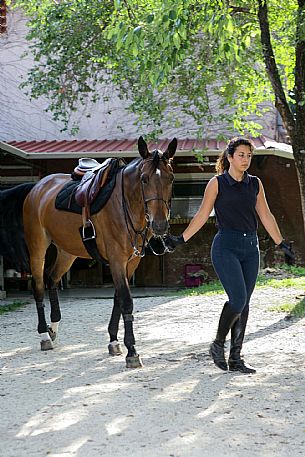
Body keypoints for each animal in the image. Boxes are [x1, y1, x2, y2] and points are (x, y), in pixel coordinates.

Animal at [0, 135, 176, 366]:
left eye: (171, 178)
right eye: (144, 179)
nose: (160, 225)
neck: (123, 204)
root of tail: (36, 188)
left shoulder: (131, 262)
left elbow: (118, 299)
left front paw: (113, 341)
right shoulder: (117, 260)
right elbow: (126, 302)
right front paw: (132, 351)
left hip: (67, 253)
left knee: (51, 280)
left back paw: (53, 328)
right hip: (37, 250)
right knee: (38, 287)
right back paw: (44, 335)